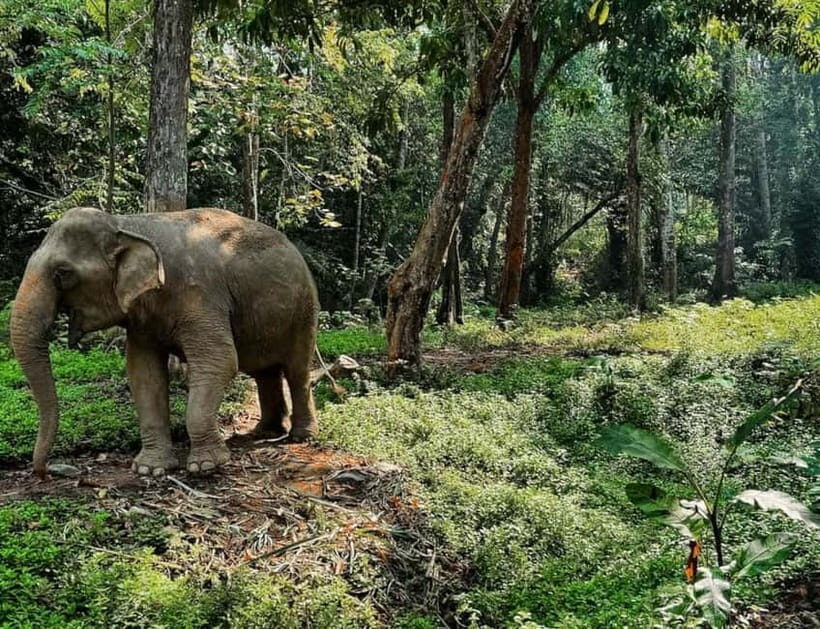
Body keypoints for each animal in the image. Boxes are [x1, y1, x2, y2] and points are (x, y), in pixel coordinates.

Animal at [11, 207, 319, 478]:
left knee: (297, 370)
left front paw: (206, 466)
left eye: (62, 273)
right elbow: (144, 374)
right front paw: (150, 469)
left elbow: (220, 361)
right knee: (264, 371)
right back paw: (265, 432)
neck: (129, 223)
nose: (44, 473)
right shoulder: (142, 319)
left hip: (305, 310)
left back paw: (300, 436)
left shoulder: (200, 294)